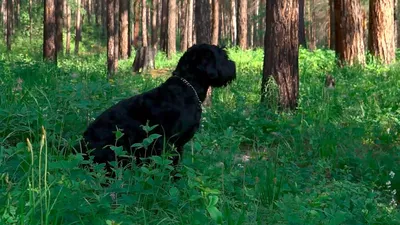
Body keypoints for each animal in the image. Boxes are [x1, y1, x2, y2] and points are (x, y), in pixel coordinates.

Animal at [74, 44, 236, 174]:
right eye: (224, 56)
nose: (233, 64)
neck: (187, 87)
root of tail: (77, 148)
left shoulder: (179, 145)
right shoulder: (167, 142)